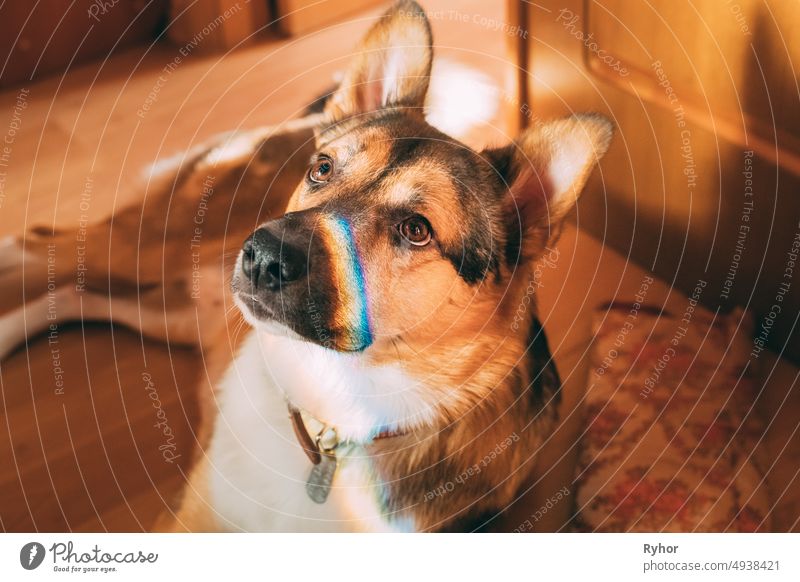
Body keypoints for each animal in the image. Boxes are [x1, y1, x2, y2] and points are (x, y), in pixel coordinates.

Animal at [0, 1, 612, 532]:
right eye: (322, 169)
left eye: (416, 229)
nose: (263, 255)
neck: (329, 416)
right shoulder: (188, 522)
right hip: (146, 247)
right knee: (40, 246)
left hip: (170, 309)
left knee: (70, 293)